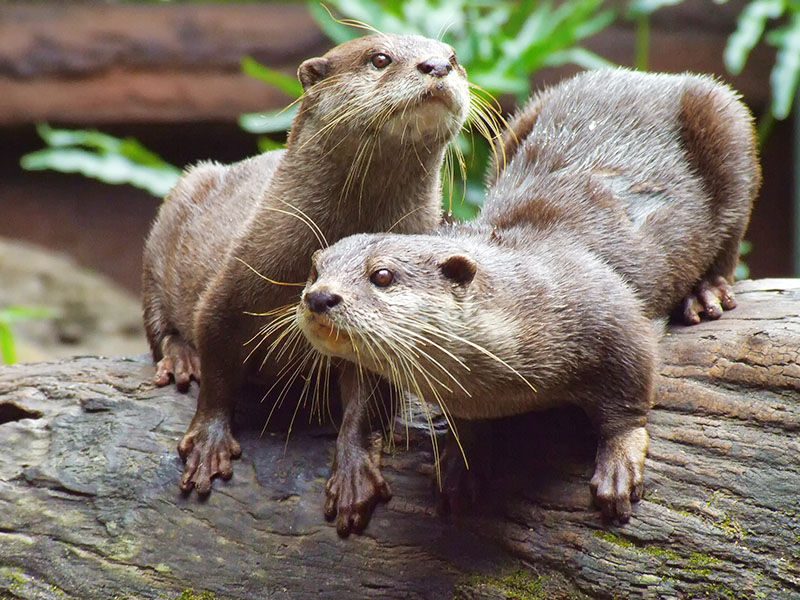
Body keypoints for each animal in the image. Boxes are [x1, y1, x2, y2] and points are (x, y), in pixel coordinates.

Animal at [141, 35, 472, 500]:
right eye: (380, 58)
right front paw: (208, 444)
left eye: (455, 57)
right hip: (173, 213)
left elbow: (366, 400)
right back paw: (180, 359)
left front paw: (353, 470)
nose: (437, 65)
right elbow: (217, 366)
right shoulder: (228, 289)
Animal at [296, 70, 764, 536]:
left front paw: (618, 465)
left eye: (382, 276)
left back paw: (706, 293)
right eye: (315, 270)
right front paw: (459, 463)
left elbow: (631, 394)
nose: (319, 297)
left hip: (726, 123)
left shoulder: (611, 313)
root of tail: (648, 78)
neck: (532, 302)